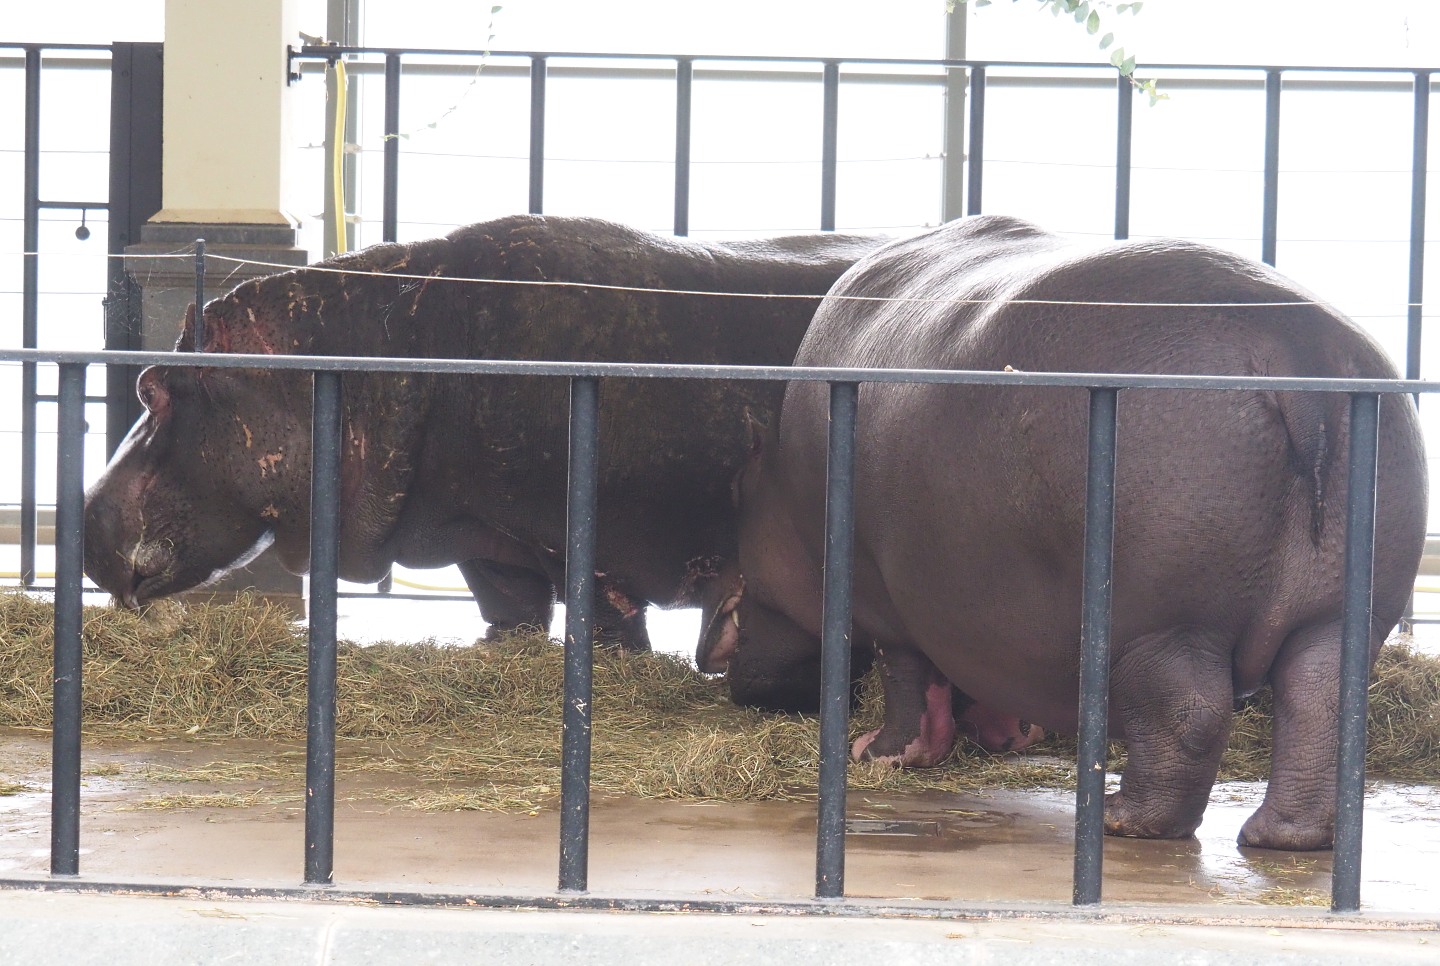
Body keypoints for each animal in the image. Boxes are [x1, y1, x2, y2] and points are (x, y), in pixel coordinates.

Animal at [84, 215, 887, 659]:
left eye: (152, 388)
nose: (85, 527)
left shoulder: (596, 543)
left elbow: (604, 618)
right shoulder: (478, 527)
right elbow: (508, 602)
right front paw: (500, 649)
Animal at [698, 215, 1426, 850]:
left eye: (733, 495)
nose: (710, 654)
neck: (781, 479)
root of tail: (1297, 360)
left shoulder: (881, 600)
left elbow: (908, 676)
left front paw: (880, 755)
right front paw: (1002, 736)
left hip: (1162, 626)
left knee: (1189, 715)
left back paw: (1122, 819)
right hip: (1340, 616)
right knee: (1322, 706)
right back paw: (1283, 836)